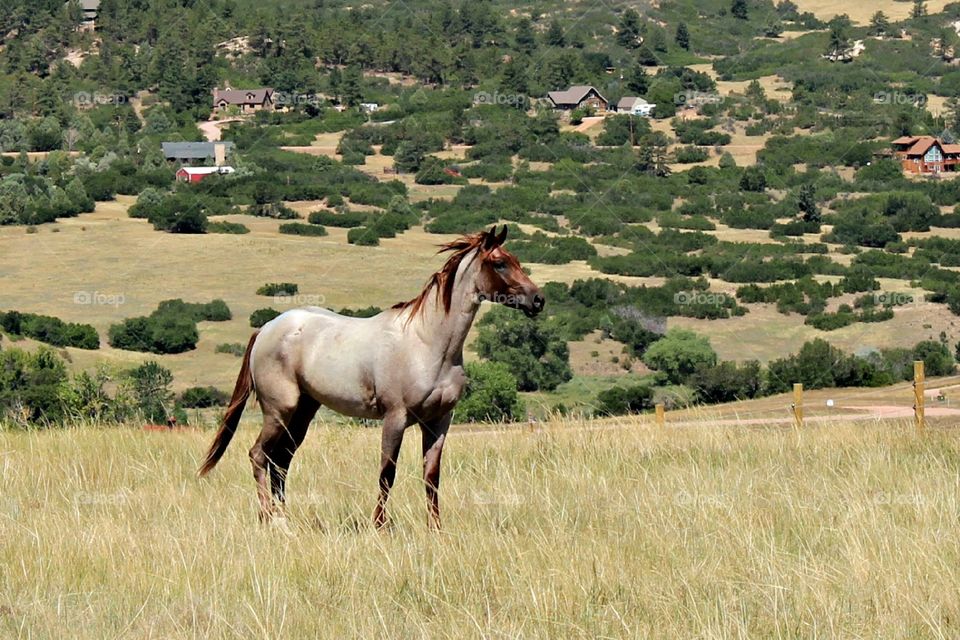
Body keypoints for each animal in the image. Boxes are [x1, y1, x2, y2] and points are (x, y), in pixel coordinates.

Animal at [199, 228, 544, 528]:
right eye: (499, 263)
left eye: (515, 259)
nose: (538, 300)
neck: (428, 343)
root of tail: (267, 329)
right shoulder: (395, 417)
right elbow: (386, 473)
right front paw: (380, 525)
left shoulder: (440, 421)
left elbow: (431, 476)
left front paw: (436, 528)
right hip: (278, 411)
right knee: (259, 456)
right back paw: (271, 520)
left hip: (302, 412)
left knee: (281, 461)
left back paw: (286, 518)